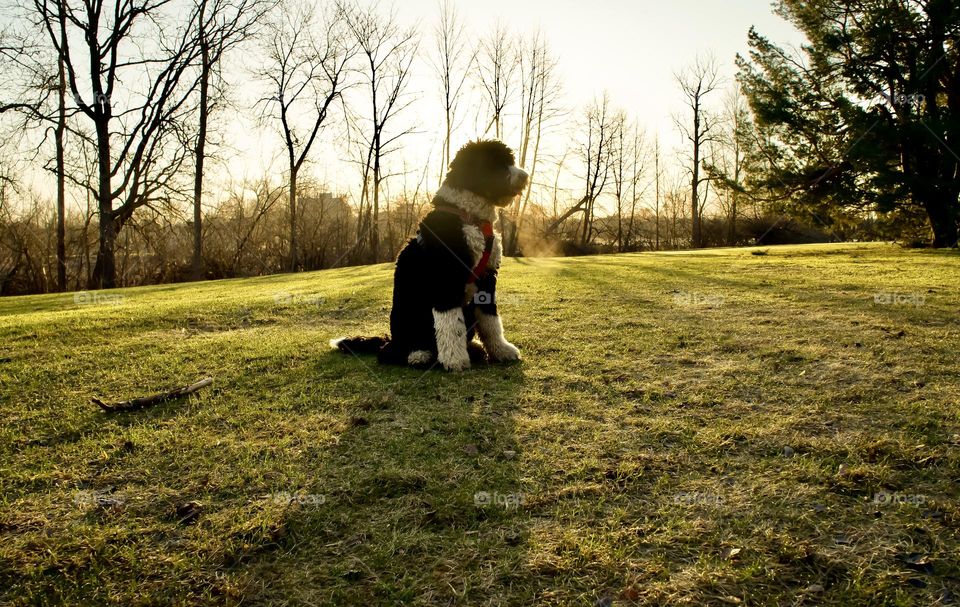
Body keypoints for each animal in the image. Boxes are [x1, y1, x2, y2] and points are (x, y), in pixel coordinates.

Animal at [328, 141, 524, 372]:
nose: (524, 176)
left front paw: (501, 350)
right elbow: (451, 324)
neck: (468, 216)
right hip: (410, 318)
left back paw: (473, 348)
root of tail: (392, 339)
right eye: (496, 164)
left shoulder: (487, 276)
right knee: (389, 352)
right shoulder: (445, 278)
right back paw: (420, 355)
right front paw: (454, 359)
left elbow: (491, 319)